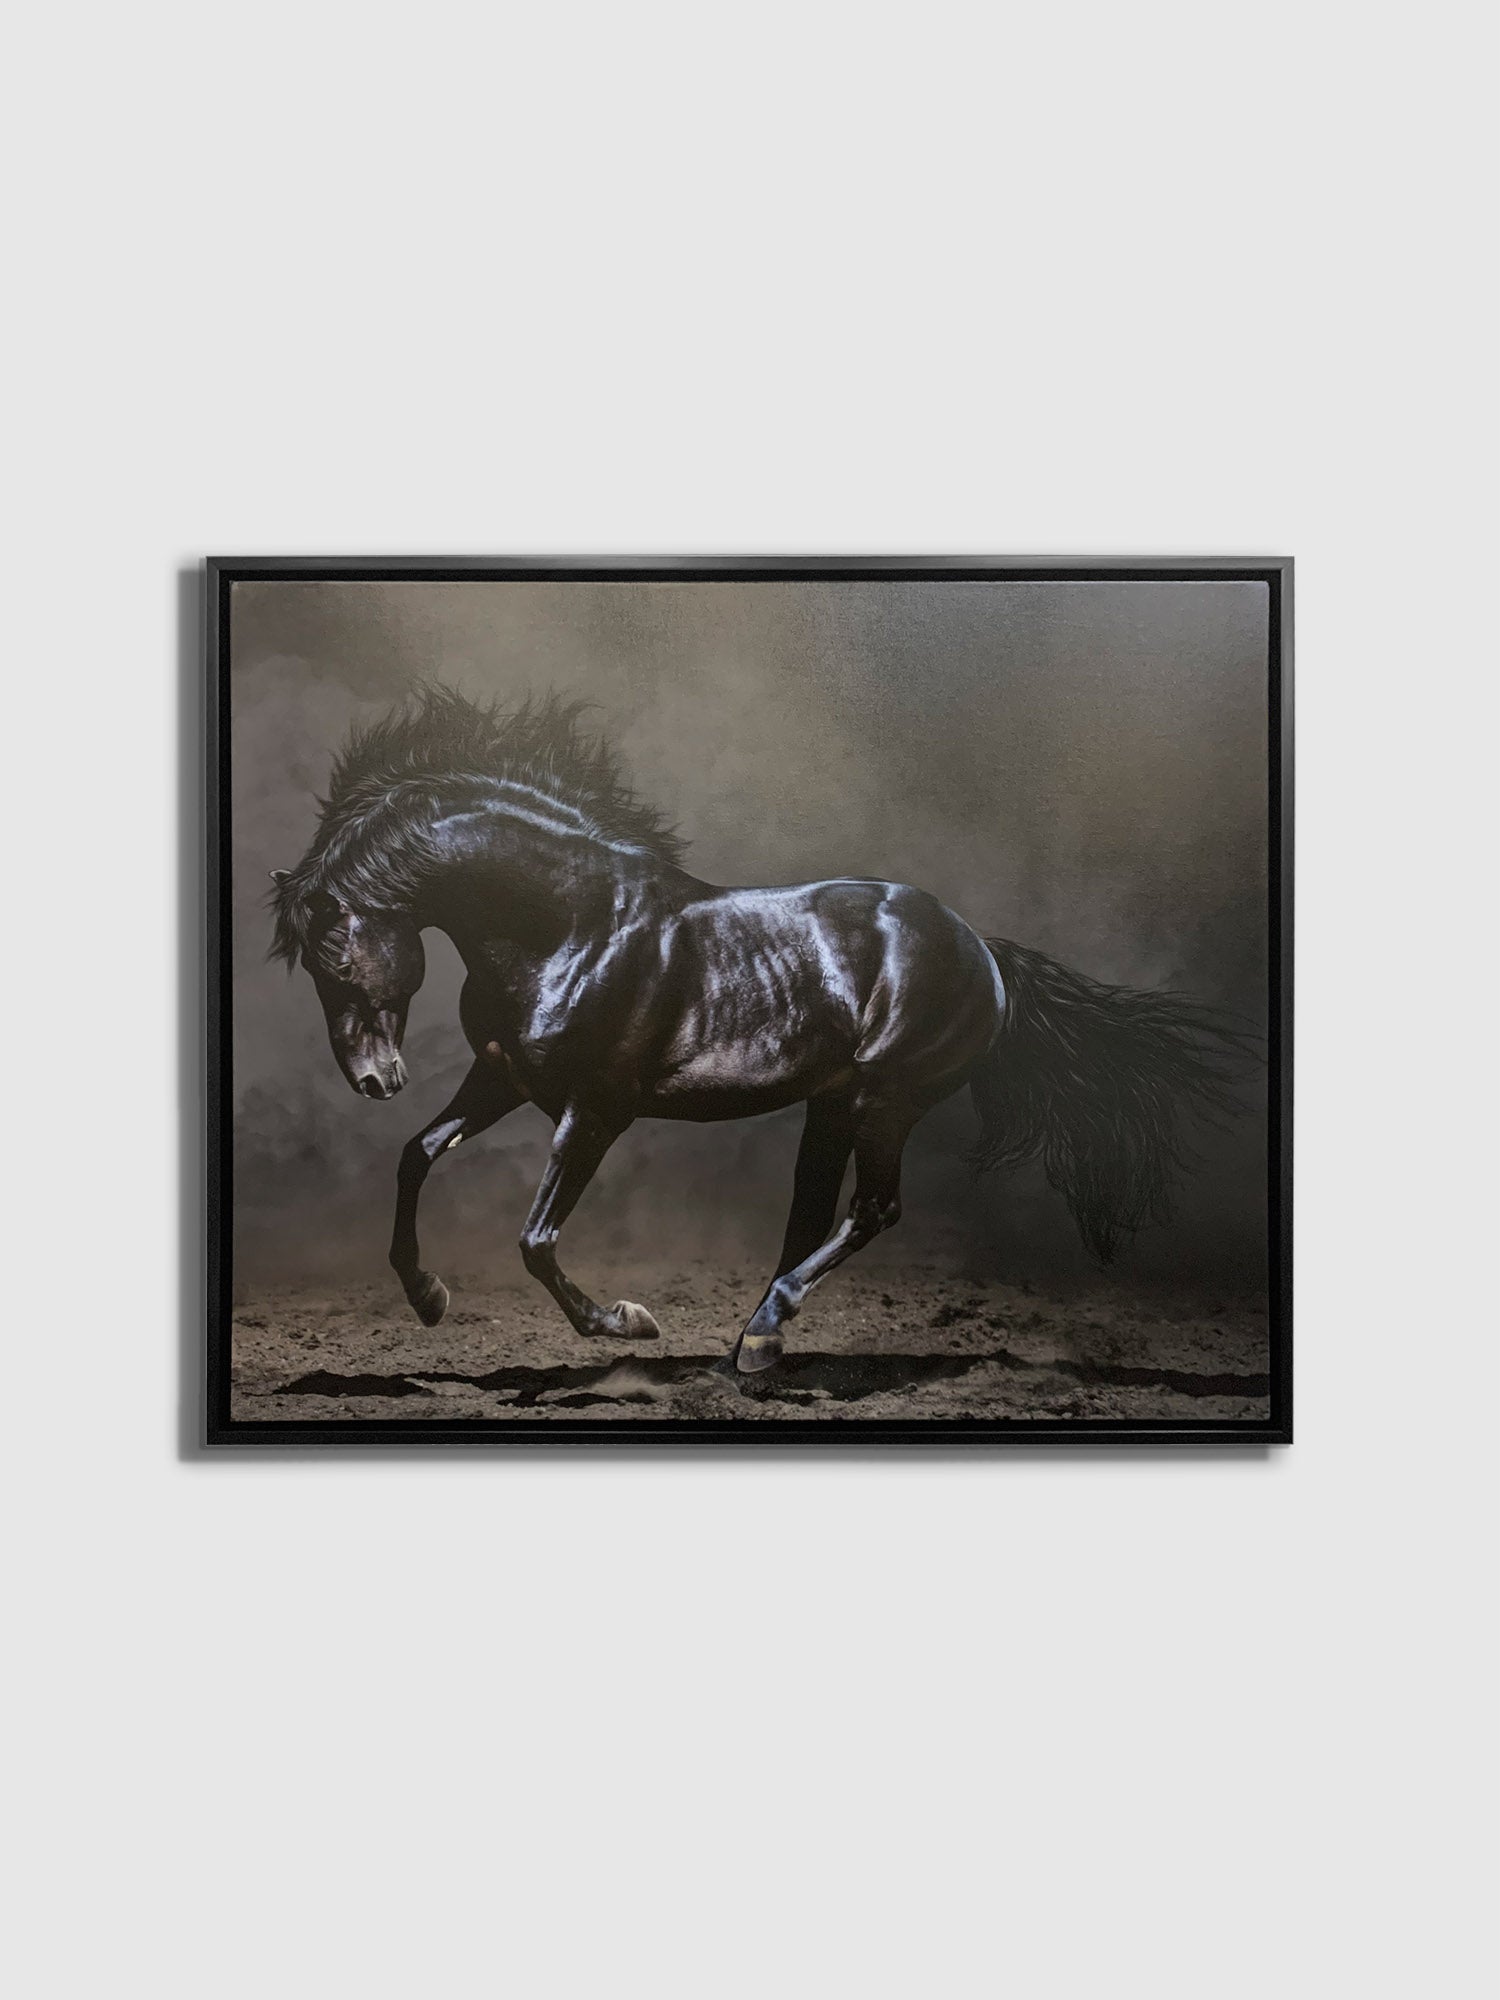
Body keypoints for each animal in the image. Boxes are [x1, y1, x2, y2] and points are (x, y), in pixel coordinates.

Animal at [269, 685, 1252, 1376]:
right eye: (312, 969)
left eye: (337, 959)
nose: (374, 1079)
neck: (570, 926)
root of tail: (984, 951)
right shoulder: (504, 1078)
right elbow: (415, 1156)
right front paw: (428, 1298)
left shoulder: (596, 1108)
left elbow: (535, 1239)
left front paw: (625, 1323)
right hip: (833, 1104)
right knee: (812, 1214)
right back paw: (750, 1347)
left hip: (886, 1097)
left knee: (873, 1210)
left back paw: (763, 1338)